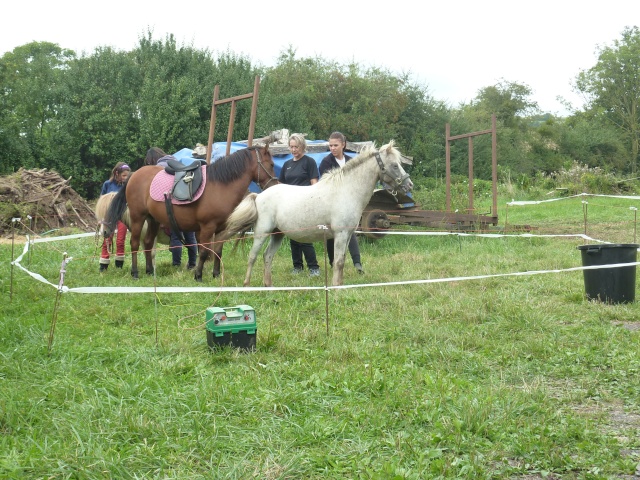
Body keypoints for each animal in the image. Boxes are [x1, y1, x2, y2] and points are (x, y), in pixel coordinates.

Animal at [103, 145, 278, 282]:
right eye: (271, 164)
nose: (275, 184)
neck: (220, 185)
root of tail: (134, 175)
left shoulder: (221, 228)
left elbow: (218, 251)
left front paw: (215, 274)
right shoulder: (207, 227)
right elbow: (204, 252)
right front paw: (198, 275)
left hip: (153, 220)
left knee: (147, 242)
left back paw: (149, 270)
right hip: (138, 217)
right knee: (134, 244)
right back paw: (135, 272)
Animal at [225, 141, 412, 286]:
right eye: (395, 165)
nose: (409, 185)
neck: (346, 190)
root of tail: (259, 196)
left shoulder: (348, 235)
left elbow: (342, 260)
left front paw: (340, 285)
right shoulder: (340, 234)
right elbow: (338, 262)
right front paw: (336, 288)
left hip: (278, 234)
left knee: (267, 256)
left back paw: (268, 285)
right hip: (262, 232)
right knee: (252, 256)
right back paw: (247, 284)